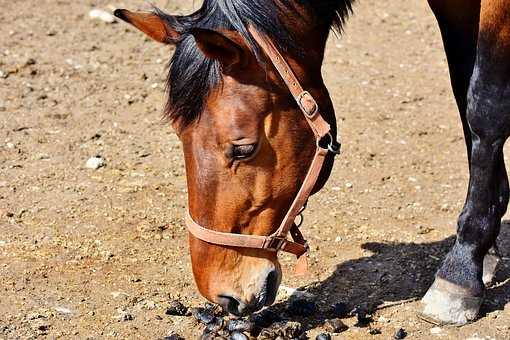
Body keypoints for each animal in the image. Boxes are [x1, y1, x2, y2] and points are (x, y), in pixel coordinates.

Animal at [114, 0, 510, 324]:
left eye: (243, 149)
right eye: (179, 135)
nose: (222, 295)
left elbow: (485, 107)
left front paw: (461, 270)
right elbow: (464, 95)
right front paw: (485, 248)